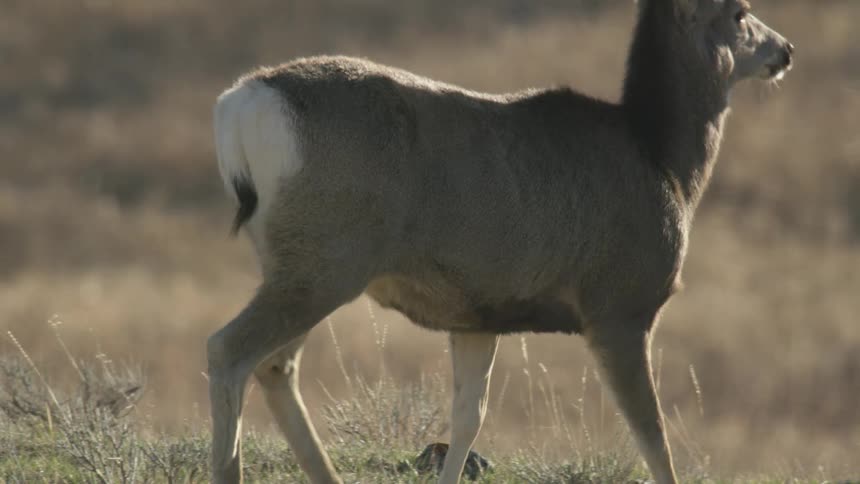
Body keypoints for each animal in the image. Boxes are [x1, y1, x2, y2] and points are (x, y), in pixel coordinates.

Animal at [206, 0, 793, 482]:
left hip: (306, 260)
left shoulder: (476, 315)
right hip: (327, 258)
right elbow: (654, 437)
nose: (785, 50)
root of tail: (242, 103)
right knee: (230, 350)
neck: (663, 160)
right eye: (740, 11)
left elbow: (468, 417)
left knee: (276, 365)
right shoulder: (621, 306)